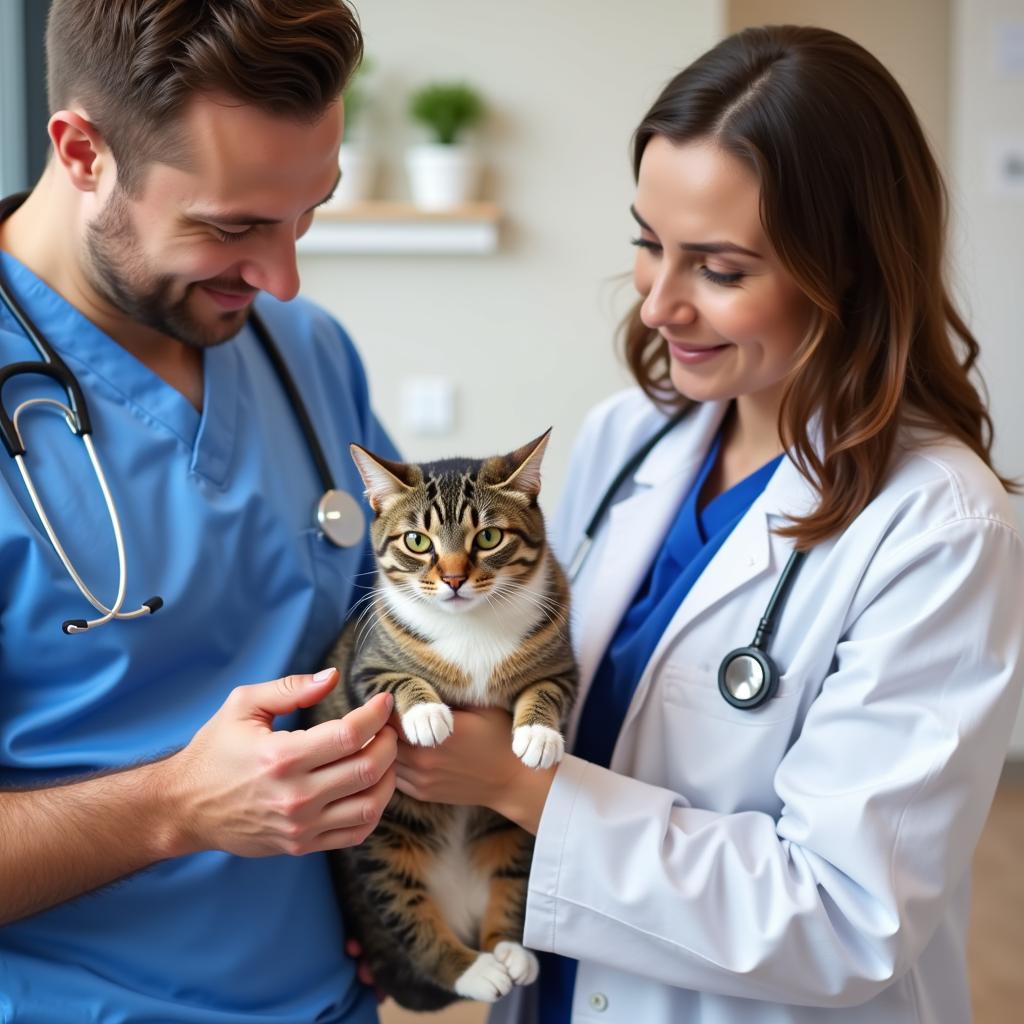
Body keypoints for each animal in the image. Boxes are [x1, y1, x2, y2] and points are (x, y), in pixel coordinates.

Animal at [307, 430, 581, 1007]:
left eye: (489, 536)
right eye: (417, 541)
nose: (454, 578)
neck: (471, 627)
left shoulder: (564, 660)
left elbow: (548, 687)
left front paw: (539, 735)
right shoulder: (365, 664)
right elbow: (394, 681)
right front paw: (427, 713)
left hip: (510, 830)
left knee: (513, 876)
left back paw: (508, 952)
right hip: (381, 843)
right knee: (406, 912)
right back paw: (469, 970)